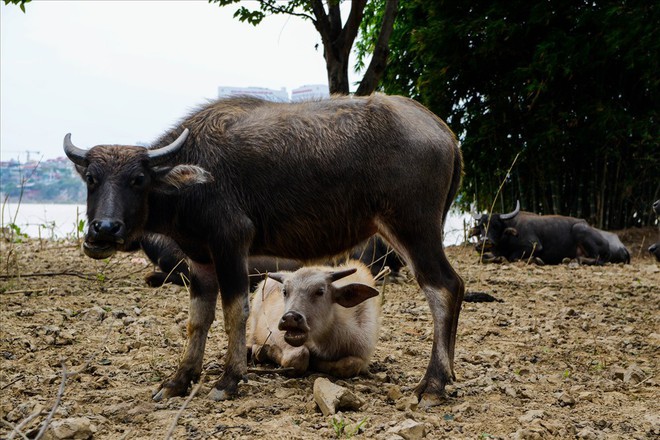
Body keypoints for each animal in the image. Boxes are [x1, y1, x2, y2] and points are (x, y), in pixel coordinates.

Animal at [249, 262, 382, 378]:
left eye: (320, 291)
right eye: (285, 291)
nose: (290, 317)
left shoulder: (363, 354)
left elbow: (350, 364)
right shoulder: (275, 334)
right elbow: (298, 357)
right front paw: (265, 351)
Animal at [466, 200, 628, 264]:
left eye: (496, 225)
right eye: (481, 226)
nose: (484, 241)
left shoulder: (534, 246)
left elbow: (512, 257)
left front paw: (535, 260)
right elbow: (483, 257)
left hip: (580, 231)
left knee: (597, 259)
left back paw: (573, 260)